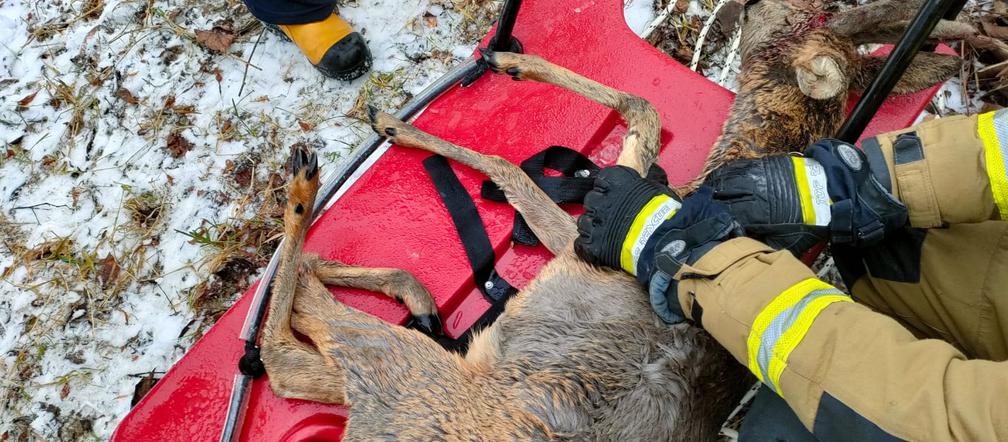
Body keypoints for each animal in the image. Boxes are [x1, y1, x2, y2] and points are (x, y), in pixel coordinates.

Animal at [258, 1, 967, 439]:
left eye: (793, 23)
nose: (746, 2)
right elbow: (637, 106)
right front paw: (503, 59)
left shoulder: (589, 237)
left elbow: (554, 145)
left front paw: (417, 113)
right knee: (315, 352)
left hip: (407, 381)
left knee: (288, 349)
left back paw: (303, 200)